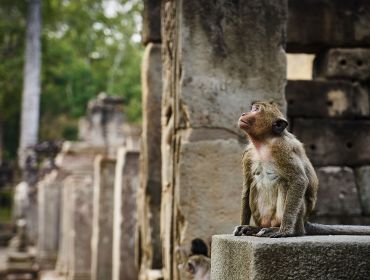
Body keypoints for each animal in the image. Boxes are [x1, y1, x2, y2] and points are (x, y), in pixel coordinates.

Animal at [234, 100, 370, 236]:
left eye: (256, 109)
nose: (243, 113)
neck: (265, 142)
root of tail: (305, 223)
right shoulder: (248, 153)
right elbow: (247, 186)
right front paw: (243, 225)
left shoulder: (282, 148)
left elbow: (298, 180)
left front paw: (285, 231)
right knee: (253, 186)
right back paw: (256, 228)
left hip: (296, 219)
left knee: (285, 183)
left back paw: (282, 229)